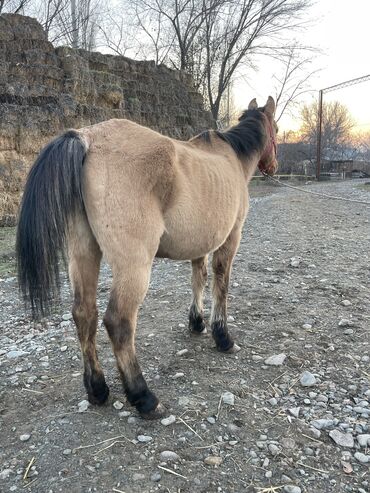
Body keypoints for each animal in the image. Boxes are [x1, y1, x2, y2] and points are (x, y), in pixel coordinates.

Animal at [16, 97, 278, 418]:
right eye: (277, 130)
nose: (274, 167)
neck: (231, 158)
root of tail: (87, 137)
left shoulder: (200, 245)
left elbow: (199, 279)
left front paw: (197, 323)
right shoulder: (230, 238)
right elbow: (221, 284)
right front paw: (223, 337)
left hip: (83, 254)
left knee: (84, 314)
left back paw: (97, 389)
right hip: (134, 266)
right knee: (118, 322)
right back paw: (143, 396)